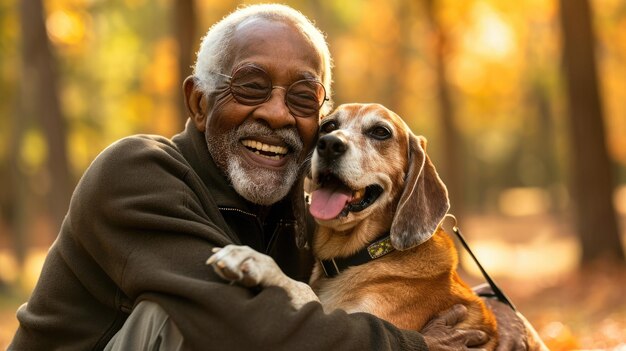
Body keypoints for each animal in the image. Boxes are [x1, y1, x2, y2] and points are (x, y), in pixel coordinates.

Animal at [207, 102, 494, 350]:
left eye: (381, 132)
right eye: (329, 126)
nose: (329, 144)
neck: (365, 255)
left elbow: (301, 289)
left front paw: (251, 259)